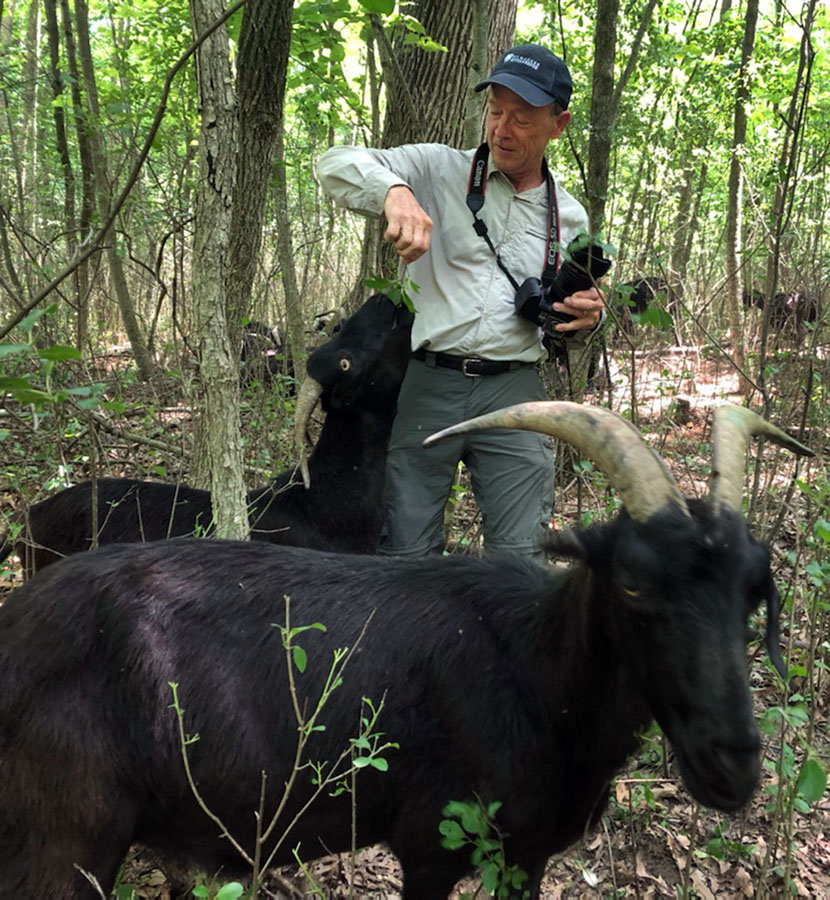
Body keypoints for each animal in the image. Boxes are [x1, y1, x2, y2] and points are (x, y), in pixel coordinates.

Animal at [0, 404, 812, 896]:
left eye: (754, 590)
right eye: (635, 585)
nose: (733, 765)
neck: (535, 674)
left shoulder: (528, 856)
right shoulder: (429, 847)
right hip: (65, 841)